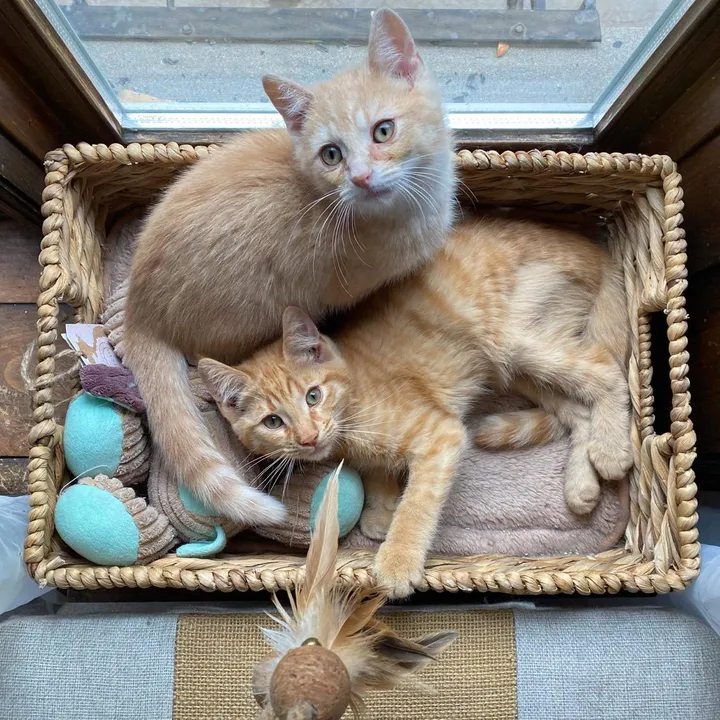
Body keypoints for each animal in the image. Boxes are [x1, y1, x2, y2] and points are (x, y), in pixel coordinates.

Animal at [197, 217, 632, 600]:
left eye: (313, 396)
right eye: (273, 421)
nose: (308, 438)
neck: (354, 402)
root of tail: (590, 249)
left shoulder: (442, 435)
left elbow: (417, 504)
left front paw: (397, 558)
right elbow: (377, 469)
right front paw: (379, 507)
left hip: (515, 340)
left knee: (607, 369)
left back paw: (611, 452)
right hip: (515, 369)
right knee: (577, 410)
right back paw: (581, 485)